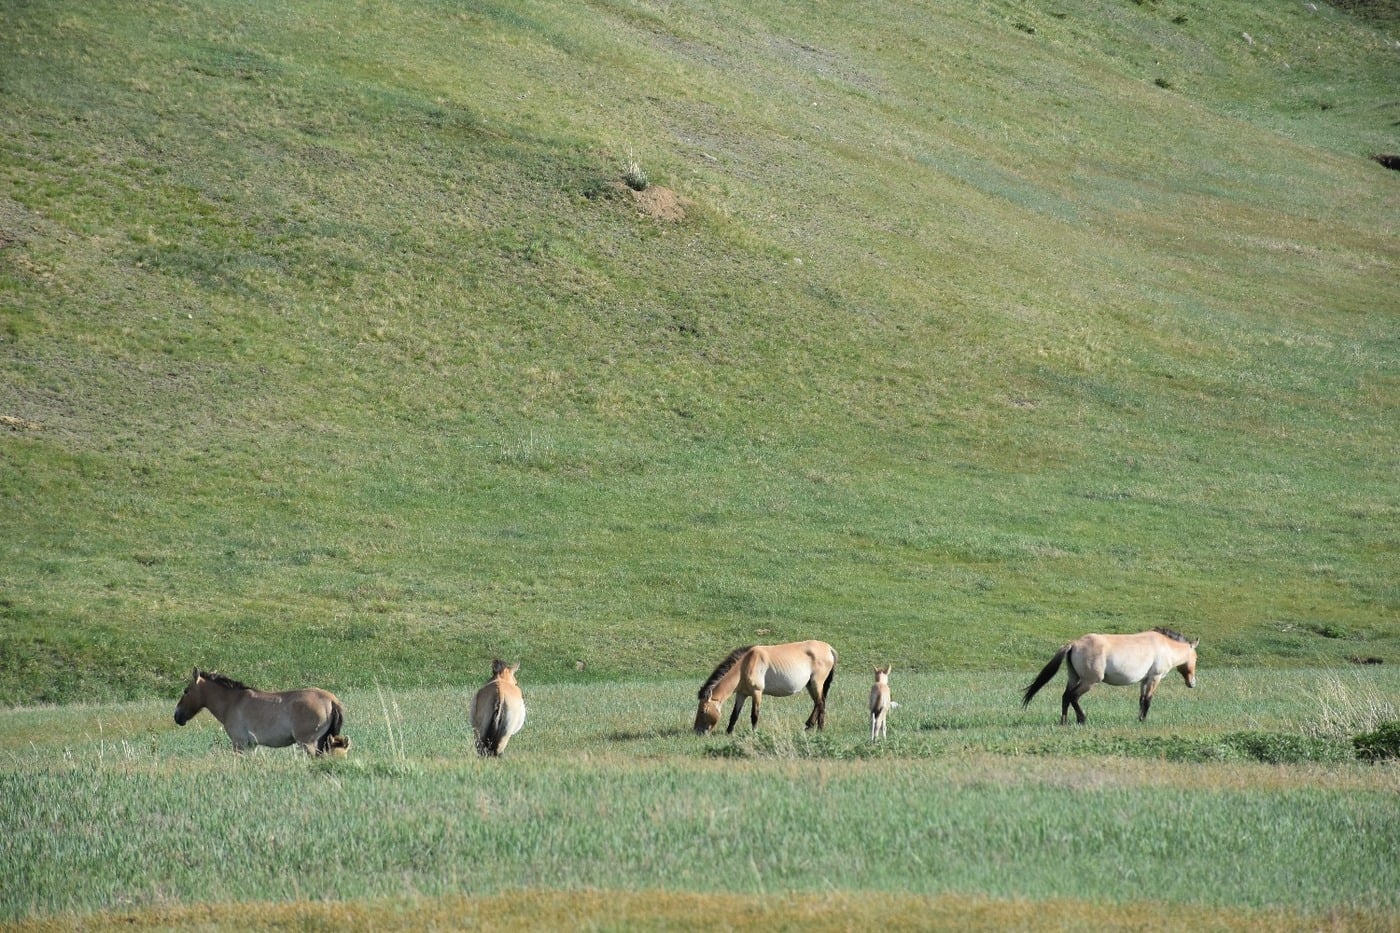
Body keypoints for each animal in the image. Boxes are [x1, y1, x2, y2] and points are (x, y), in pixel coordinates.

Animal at [173, 668, 350, 755]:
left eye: (186, 691)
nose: (177, 716)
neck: (232, 702)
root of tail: (331, 700)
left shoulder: (239, 743)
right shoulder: (252, 745)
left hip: (309, 743)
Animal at [694, 640, 837, 735]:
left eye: (703, 711)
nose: (697, 731)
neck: (745, 664)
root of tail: (829, 648)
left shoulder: (757, 692)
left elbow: (754, 715)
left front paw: (754, 733)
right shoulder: (741, 694)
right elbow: (734, 714)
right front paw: (728, 732)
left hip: (816, 683)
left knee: (820, 703)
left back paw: (819, 729)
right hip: (810, 685)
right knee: (818, 703)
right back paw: (810, 726)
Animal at [1021, 628, 1198, 724]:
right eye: (1196, 658)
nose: (1192, 683)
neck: (1165, 646)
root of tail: (1074, 644)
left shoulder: (1144, 680)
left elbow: (1141, 700)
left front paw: (1139, 719)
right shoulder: (1155, 677)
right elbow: (1148, 700)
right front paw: (1143, 721)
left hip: (1073, 678)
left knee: (1065, 697)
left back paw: (1064, 722)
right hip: (1089, 681)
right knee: (1073, 697)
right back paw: (1082, 719)